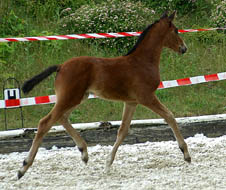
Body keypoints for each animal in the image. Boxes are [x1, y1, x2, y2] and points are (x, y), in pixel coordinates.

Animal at [18, 12, 191, 180]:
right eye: (176, 30)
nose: (184, 48)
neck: (142, 61)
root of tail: (60, 67)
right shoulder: (146, 97)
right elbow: (169, 116)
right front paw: (186, 154)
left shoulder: (131, 102)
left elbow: (123, 130)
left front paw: (108, 163)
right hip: (70, 98)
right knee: (45, 122)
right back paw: (23, 167)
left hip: (77, 98)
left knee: (62, 118)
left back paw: (84, 153)